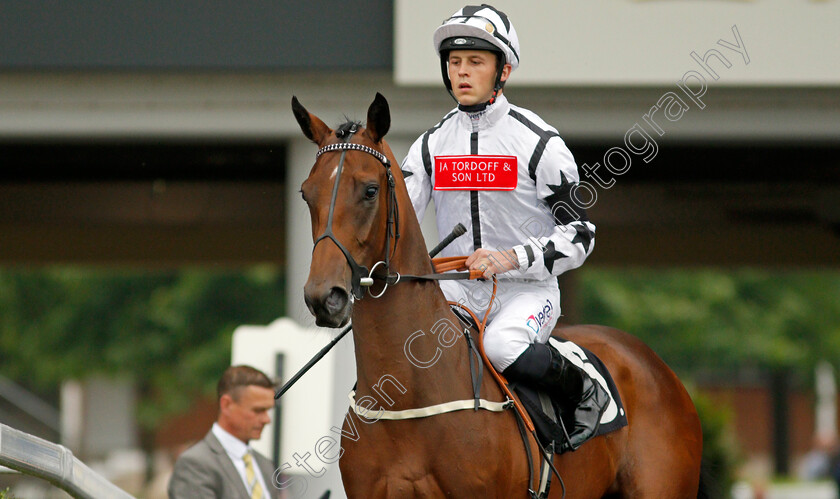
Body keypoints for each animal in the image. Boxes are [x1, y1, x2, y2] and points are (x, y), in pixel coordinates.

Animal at [296, 93, 704, 496]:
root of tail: (657, 366)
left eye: (370, 190)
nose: (324, 296)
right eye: (306, 193)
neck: (410, 395)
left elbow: (578, 227)